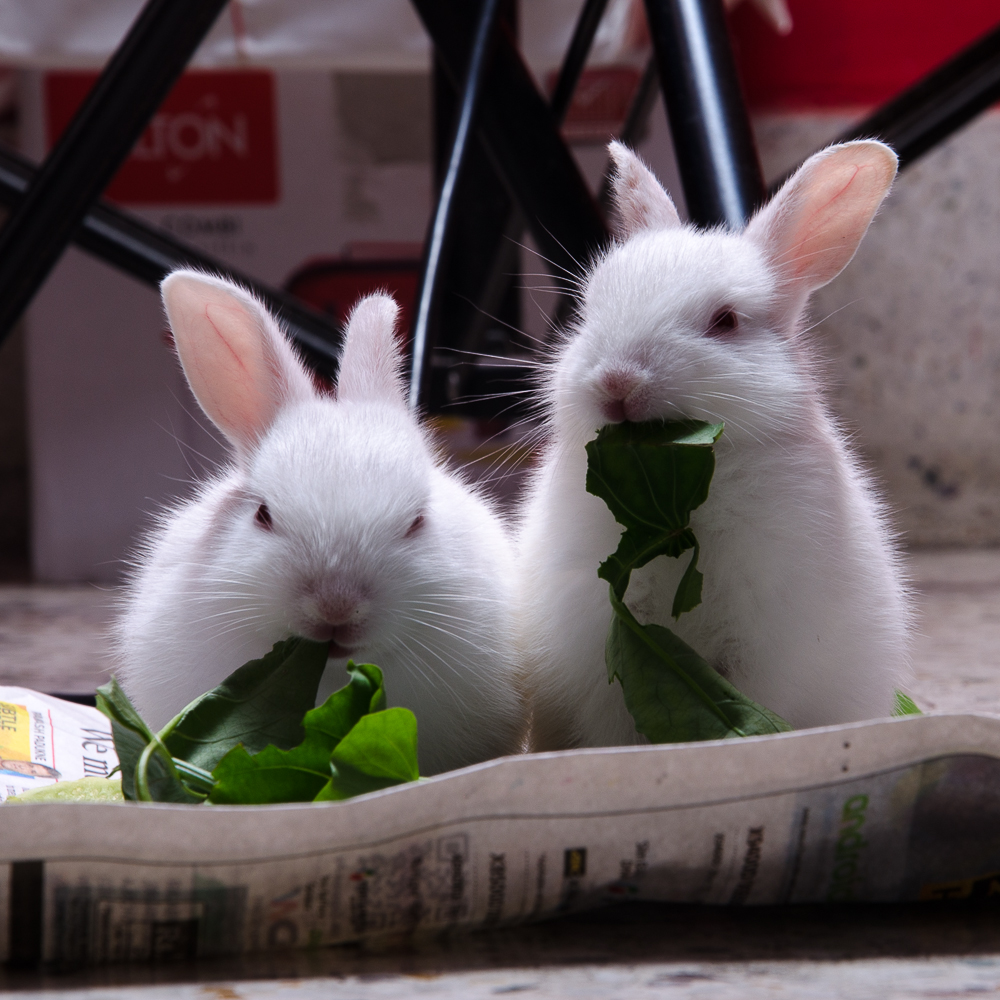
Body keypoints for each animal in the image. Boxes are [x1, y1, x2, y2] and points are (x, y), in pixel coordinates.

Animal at [516, 141, 916, 752]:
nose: (616, 382)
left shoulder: (760, 645)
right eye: (588, 311)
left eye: (725, 321)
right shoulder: (605, 641)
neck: (678, 516)